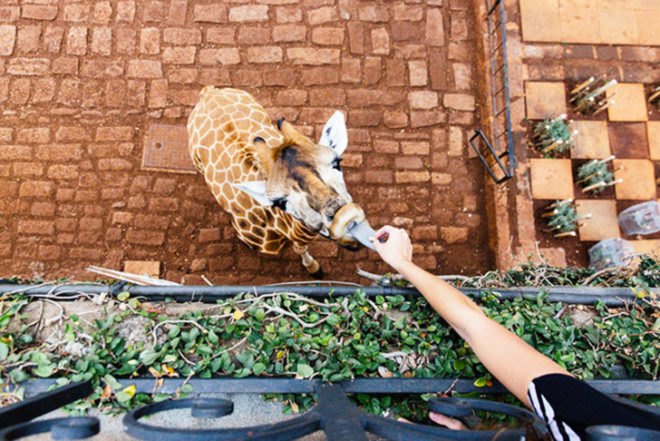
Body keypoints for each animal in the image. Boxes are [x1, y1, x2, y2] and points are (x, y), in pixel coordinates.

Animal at [187, 87, 369, 277]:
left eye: (337, 162)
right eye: (280, 202)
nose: (346, 216)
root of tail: (209, 91)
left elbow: (300, 247)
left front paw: (314, 268)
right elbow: (299, 248)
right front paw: (314, 268)